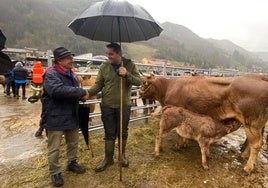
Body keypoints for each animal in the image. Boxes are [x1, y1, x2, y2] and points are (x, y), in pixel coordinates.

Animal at [139, 74, 268, 173]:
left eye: (145, 83)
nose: (139, 93)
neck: (168, 87)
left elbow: (179, 133)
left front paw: (178, 145)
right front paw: (184, 143)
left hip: (252, 124)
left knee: (256, 144)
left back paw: (248, 167)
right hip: (255, 125)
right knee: (252, 142)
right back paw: (244, 155)